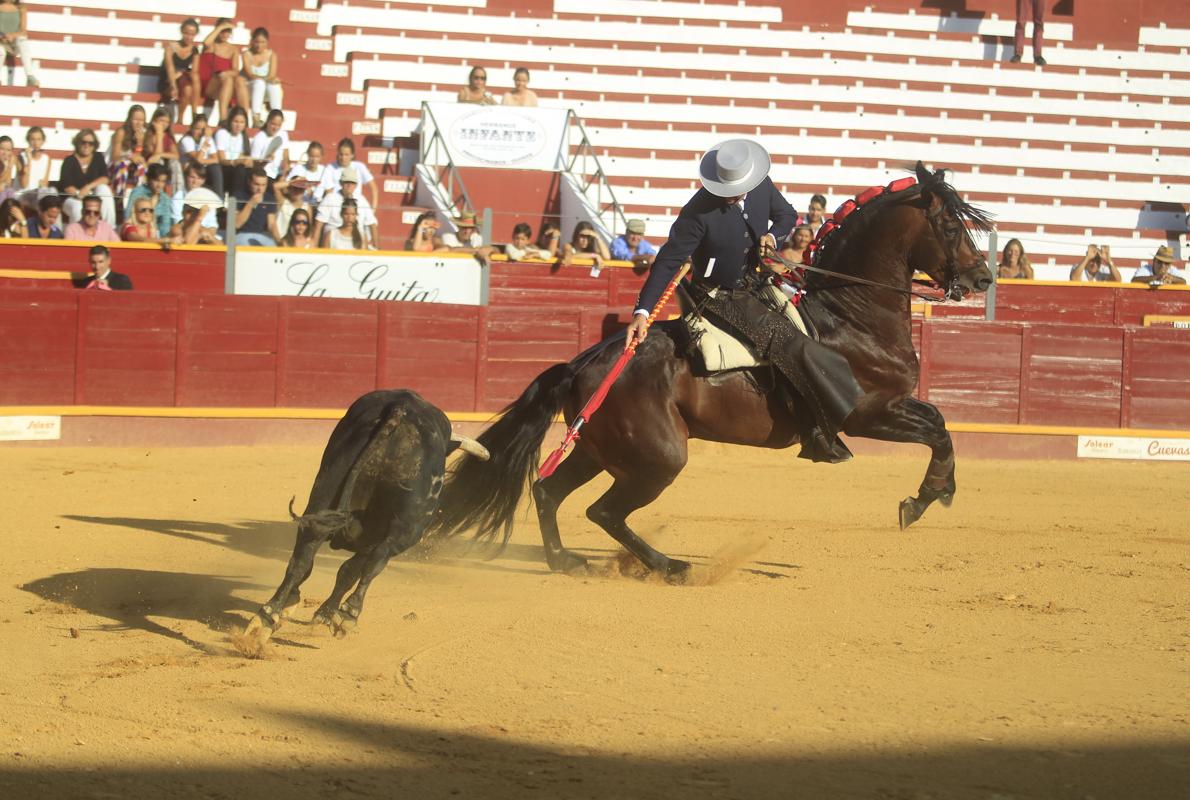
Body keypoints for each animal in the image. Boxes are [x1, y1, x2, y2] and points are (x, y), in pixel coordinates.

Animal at [246, 390, 487, 642]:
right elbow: (352, 571)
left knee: (303, 557)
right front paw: (327, 614)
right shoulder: (376, 538)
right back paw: (348, 614)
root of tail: (402, 408)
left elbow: (344, 571)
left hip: (324, 492)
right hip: (407, 529)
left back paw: (267, 616)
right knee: (376, 560)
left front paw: (318, 611)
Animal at [435, 161, 994, 578]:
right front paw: (924, 499)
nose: (984, 277)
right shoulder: (866, 413)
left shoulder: (892, 406)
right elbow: (939, 430)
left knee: (549, 491)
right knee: (603, 510)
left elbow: (939, 423)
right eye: (951, 226)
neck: (851, 315)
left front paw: (934, 492)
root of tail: (582, 364)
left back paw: (567, 562)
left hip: (603, 449)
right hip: (659, 458)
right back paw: (671, 566)